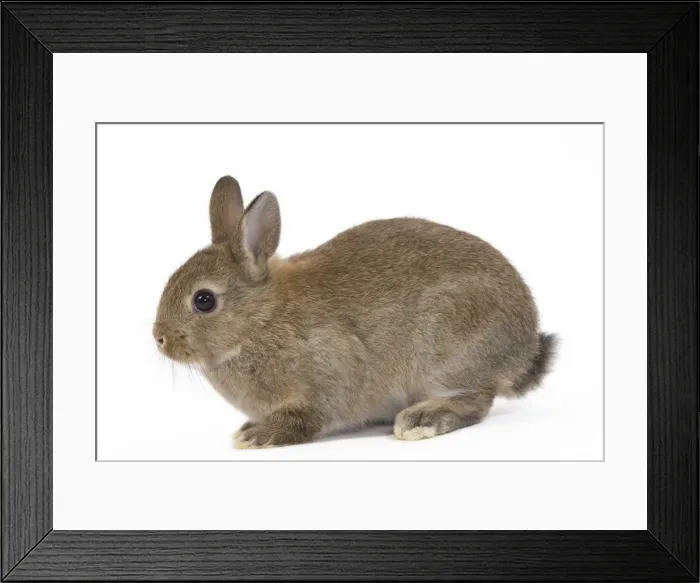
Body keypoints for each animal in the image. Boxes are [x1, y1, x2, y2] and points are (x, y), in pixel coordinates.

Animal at [153, 175, 557, 449]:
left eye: (204, 300)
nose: (159, 338)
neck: (260, 319)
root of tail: (524, 347)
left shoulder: (328, 373)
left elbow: (310, 416)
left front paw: (258, 435)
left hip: (445, 352)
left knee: (477, 399)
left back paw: (420, 419)